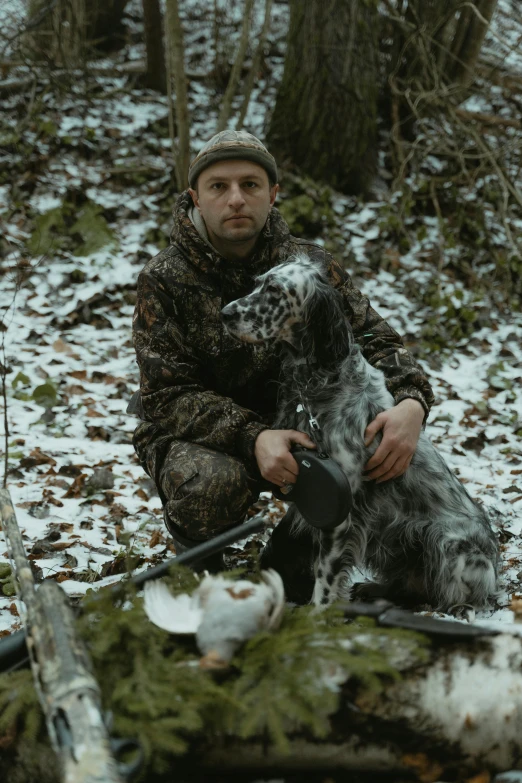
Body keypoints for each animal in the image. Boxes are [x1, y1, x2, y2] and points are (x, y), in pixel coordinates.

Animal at [219, 254, 496, 616]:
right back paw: (374, 590)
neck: (318, 381)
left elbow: (325, 577)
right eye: (255, 284)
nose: (224, 314)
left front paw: (316, 617)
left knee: (446, 593)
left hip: (448, 546)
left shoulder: (341, 511)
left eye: (275, 290)